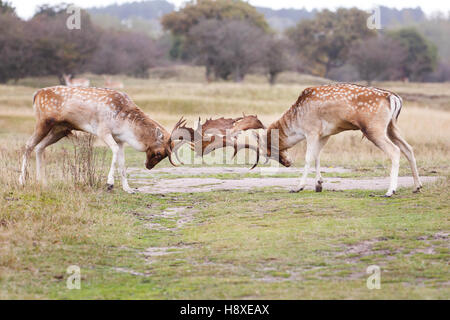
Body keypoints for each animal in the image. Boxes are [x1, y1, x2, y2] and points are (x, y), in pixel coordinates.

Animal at [18, 85, 185, 194]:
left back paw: (42, 182)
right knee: (28, 145)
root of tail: (36, 94)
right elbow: (115, 151)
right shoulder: (102, 130)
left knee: (39, 147)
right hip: (43, 122)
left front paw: (128, 188)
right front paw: (109, 184)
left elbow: (122, 162)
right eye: (159, 153)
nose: (148, 166)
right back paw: (22, 181)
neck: (124, 124)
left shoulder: (120, 139)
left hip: (60, 129)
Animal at [253, 84, 422, 196]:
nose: (288, 163)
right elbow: (317, 156)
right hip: (391, 126)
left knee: (395, 150)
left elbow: (308, 158)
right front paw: (319, 185)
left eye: (267, 152)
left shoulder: (312, 130)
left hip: (374, 128)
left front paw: (298, 187)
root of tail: (393, 98)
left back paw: (390, 191)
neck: (297, 124)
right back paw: (417, 187)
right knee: (408, 148)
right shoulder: (325, 134)